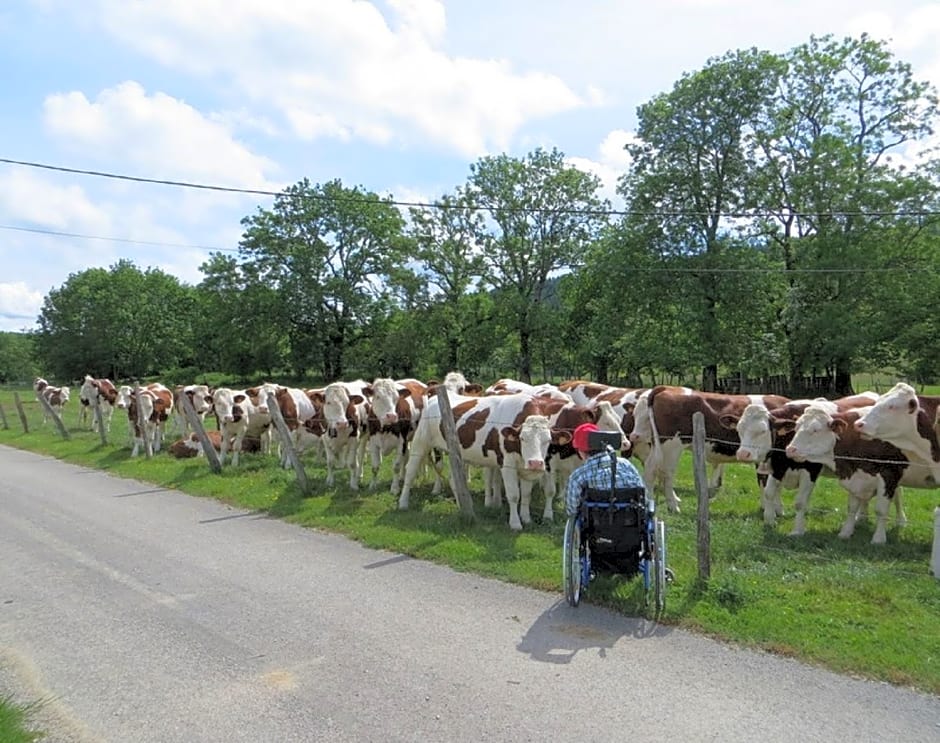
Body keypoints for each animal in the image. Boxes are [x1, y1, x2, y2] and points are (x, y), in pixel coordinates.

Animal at [396, 392, 588, 532]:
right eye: (523, 438)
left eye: (547, 440)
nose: (536, 463)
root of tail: (433, 397)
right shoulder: (507, 463)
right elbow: (514, 494)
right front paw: (515, 523)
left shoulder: (525, 468)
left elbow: (525, 495)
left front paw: (526, 518)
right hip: (421, 443)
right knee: (410, 472)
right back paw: (403, 503)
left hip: (455, 454)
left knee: (454, 480)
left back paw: (461, 506)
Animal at [628, 386, 788, 516]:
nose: (634, 435)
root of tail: (666, 388)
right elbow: (767, 481)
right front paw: (772, 510)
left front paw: (774, 508)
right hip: (671, 445)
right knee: (666, 474)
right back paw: (673, 506)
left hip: (658, 445)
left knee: (650, 470)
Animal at [784, 404, 916, 544]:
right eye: (796, 427)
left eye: (815, 430)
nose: (790, 449)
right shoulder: (857, 479)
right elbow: (852, 507)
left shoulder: (889, 474)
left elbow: (881, 510)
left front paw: (879, 539)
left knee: (898, 494)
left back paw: (901, 521)